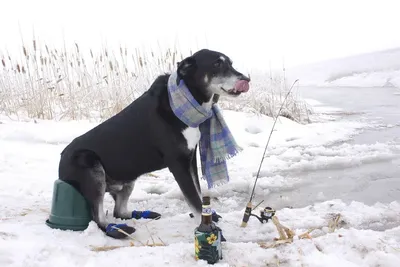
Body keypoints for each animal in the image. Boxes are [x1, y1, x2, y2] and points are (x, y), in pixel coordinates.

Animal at [57, 49, 250, 240]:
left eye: (230, 63)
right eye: (217, 64)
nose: (246, 80)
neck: (185, 102)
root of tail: (61, 161)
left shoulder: (190, 159)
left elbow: (198, 191)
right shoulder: (178, 164)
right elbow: (194, 199)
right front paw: (207, 227)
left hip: (129, 178)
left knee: (119, 210)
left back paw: (144, 214)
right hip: (90, 166)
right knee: (97, 218)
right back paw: (116, 230)